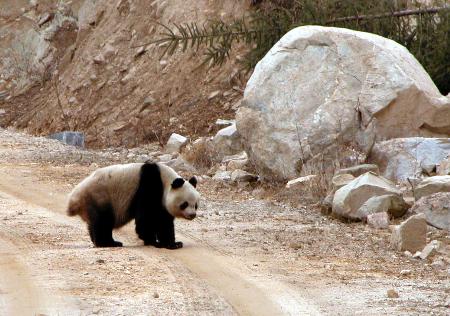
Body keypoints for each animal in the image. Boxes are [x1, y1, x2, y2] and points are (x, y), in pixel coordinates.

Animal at [66, 162, 200, 248]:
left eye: (196, 205)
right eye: (184, 204)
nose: (192, 215)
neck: (165, 180)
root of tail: (74, 199)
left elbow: (164, 221)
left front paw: (174, 243)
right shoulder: (149, 184)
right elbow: (146, 218)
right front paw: (155, 242)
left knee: (94, 223)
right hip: (99, 197)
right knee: (103, 221)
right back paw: (107, 243)